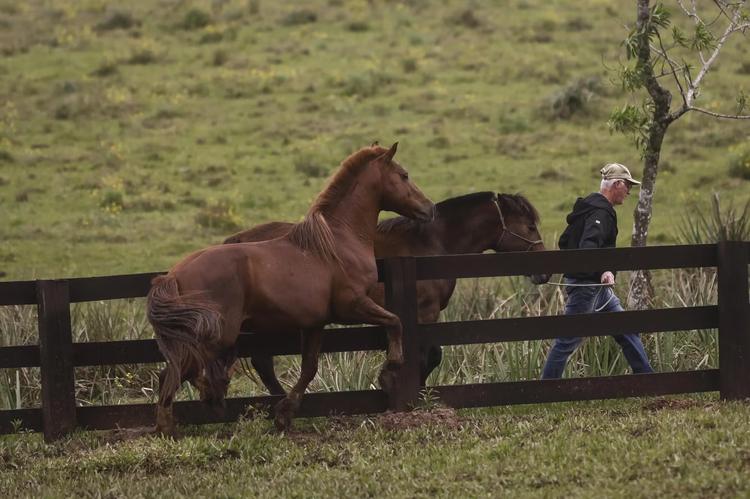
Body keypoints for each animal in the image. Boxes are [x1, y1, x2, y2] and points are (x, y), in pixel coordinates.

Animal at [147, 143, 434, 433]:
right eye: (404, 175)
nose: (429, 208)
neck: (338, 241)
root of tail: (173, 275)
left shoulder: (315, 324)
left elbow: (309, 369)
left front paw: (284, 414)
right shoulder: (351, 306)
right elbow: (395, 321)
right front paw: (391, 367)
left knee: (177, 373)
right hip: (217, 336)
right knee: (174, 374)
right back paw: (175, 424)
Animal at [224, 191, 549, 394]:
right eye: (530, 226)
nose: (543, 272)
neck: (431, 244)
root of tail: (236, 241)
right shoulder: (425, 312)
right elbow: (430, 354)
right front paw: (401, 384)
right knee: (262, 361)